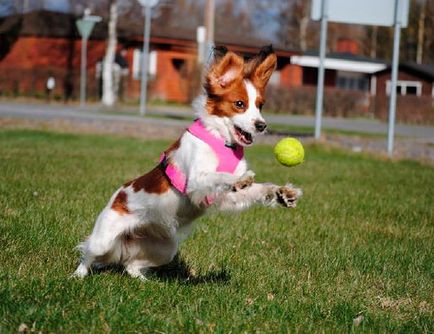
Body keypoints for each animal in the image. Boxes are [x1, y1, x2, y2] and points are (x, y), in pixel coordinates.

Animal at [73, 44, 302, 280]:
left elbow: (259, 189)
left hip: (165, 249)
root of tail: (118, 197)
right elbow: (219, 175)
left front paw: (281, 193)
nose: (261, 125)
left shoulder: (223, 198)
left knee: (131, 265)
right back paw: (78, 276)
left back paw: (142, 280)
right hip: (104, 238)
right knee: (88, 254)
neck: (222, 141)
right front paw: (239, 179)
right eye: (239, 104)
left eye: (260, 106)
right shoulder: (195, 183)